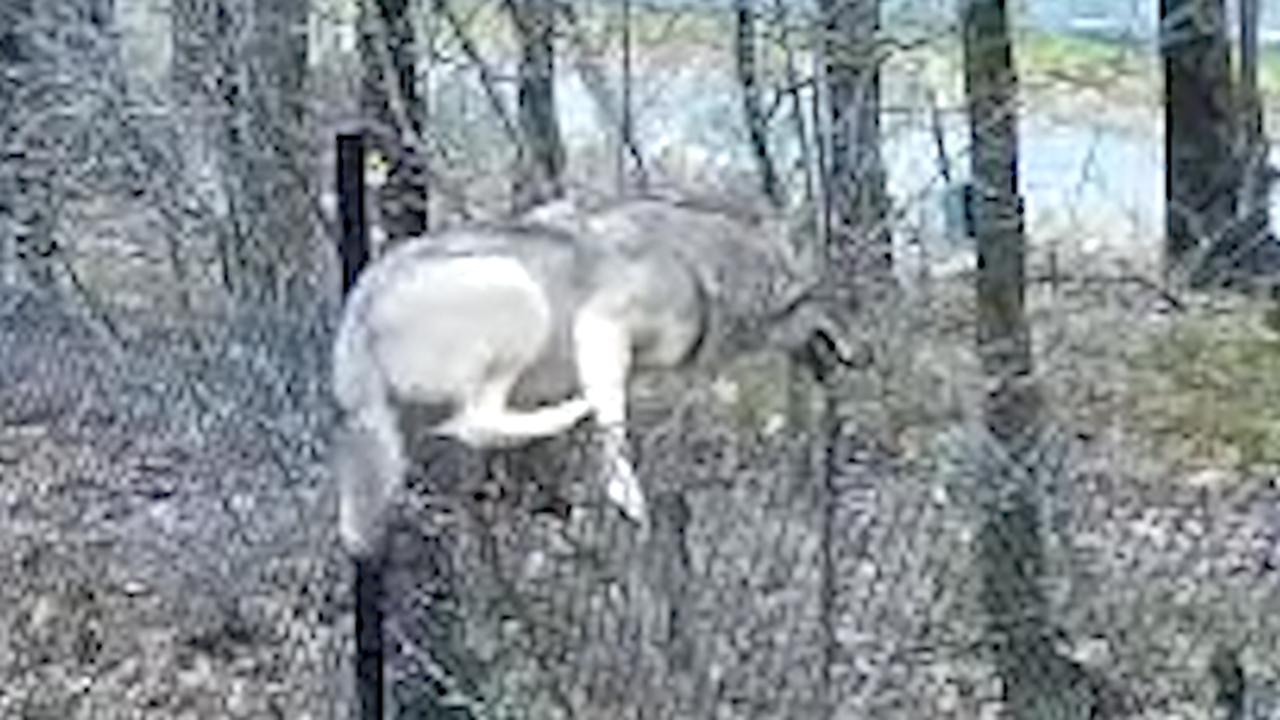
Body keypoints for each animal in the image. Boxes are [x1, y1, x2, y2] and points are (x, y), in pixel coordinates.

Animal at [330, 192, 829, 556]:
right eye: (823, 303)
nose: (845, 355)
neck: (698, 266)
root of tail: (358, 305)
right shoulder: (600, 325)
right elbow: (613, 424)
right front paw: (626, 493)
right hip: (516, 289)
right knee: (475, 421)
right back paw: (567, 411)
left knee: (468, 427)